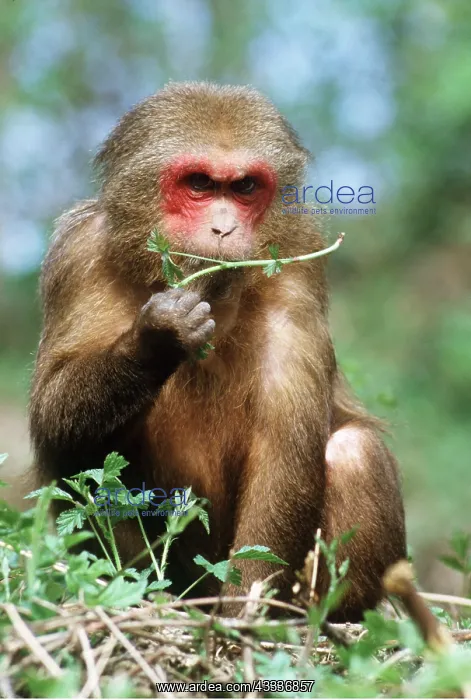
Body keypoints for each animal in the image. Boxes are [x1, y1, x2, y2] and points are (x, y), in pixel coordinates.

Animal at [29, 81, 406, 621]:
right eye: (200, 184)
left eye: (245, 188)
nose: (225, 229)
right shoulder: (76, 255)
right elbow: (53, 414)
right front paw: (157, 340)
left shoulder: (296, 273)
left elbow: (284, 450)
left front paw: (243, 614)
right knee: (84, 457)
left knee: (356, 451)